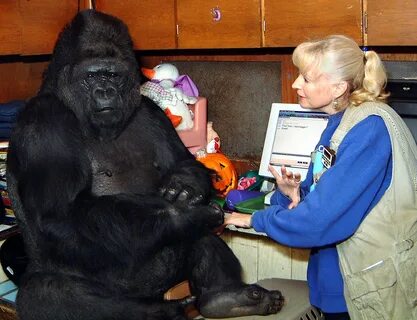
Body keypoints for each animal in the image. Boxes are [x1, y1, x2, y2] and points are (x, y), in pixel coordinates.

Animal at [7, 10, 282, 320]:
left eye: (113, 75)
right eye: (91, 76)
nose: (105, 91)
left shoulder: (151, 110)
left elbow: (184, 161)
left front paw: (185, 187)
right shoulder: (44, 120)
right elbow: (61, 213)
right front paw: (182, 214)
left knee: (198, 240)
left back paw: (225, 297)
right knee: (47, 292)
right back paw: (160, 310)